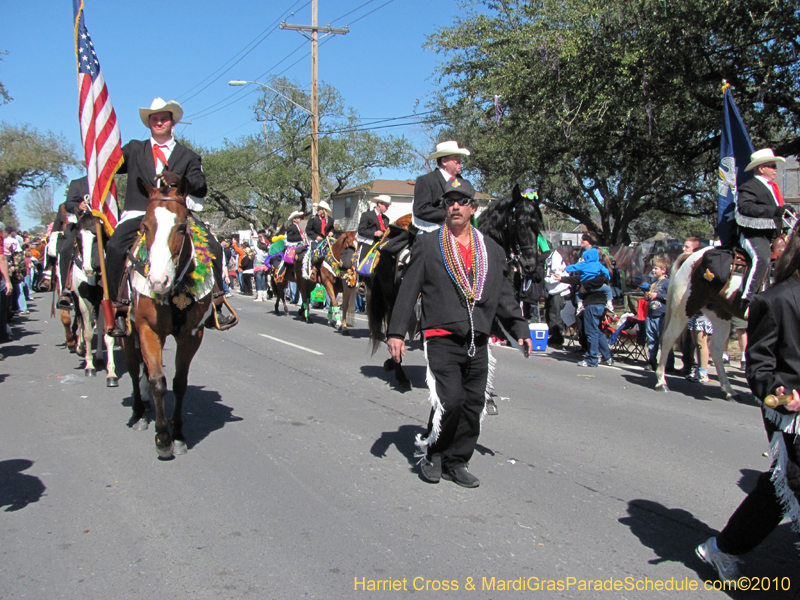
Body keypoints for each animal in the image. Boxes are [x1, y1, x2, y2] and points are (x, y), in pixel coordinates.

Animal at [122, 178, 216, 460]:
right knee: (133, 368)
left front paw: (179, 434)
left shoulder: (192, 334)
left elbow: (180, 383)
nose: (158, 281)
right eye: (145, 226)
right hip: (127, 331)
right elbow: (158, 382)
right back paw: (139, 412)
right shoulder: (148, 330)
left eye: (182, 227)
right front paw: (163, 438)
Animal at [368, 185, 544, 386]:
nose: (531, 265)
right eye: (521, 225)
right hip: (391, 298)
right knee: (392, 327)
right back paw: (399, 371)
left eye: (538, 227)